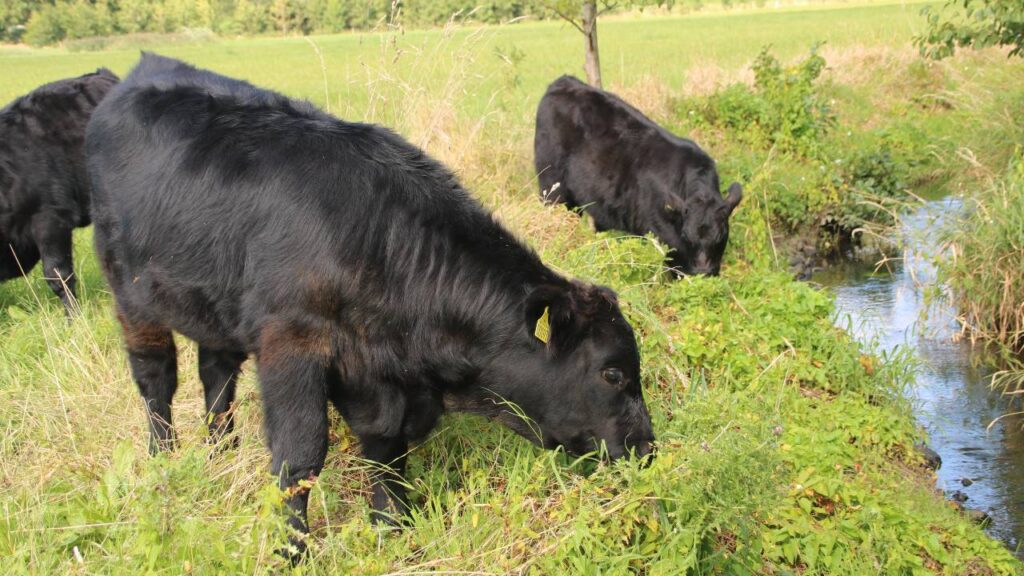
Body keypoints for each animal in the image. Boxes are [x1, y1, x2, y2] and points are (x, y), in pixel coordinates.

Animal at [83, 54, 651, 553]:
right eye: (612, 373)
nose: (647, 447)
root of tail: (140, 72)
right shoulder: (292, 343)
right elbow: (299, 458)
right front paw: (292, 549)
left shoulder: (373, 372)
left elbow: (384, 446)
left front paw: (391, 527)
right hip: (131, 295)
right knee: (157, 380)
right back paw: (164, 459)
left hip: (215, 308)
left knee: (216, 373)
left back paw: (221, 451)